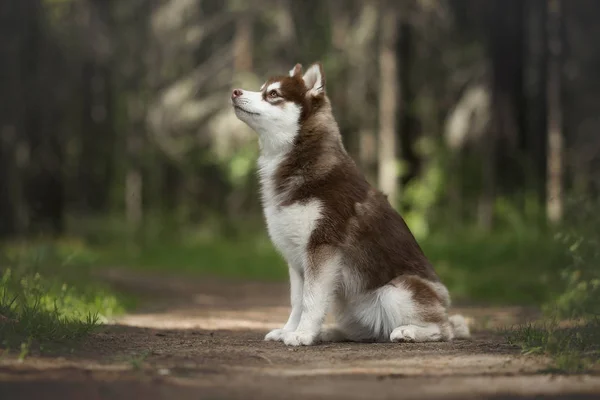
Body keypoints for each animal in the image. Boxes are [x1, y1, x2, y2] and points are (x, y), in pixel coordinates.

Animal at [230, 61, 468, 346]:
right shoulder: (297, 260)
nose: (234, 91)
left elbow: (310, 300)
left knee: (445, 328)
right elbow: (297, 301)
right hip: (347, 303)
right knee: (370, 331)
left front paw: (302, 334)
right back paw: (330, 333)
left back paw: (409, 331)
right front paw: (290, 330)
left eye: (273, 94)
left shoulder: (321, 249)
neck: (300, 160)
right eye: (262, 89)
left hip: (396, 291)